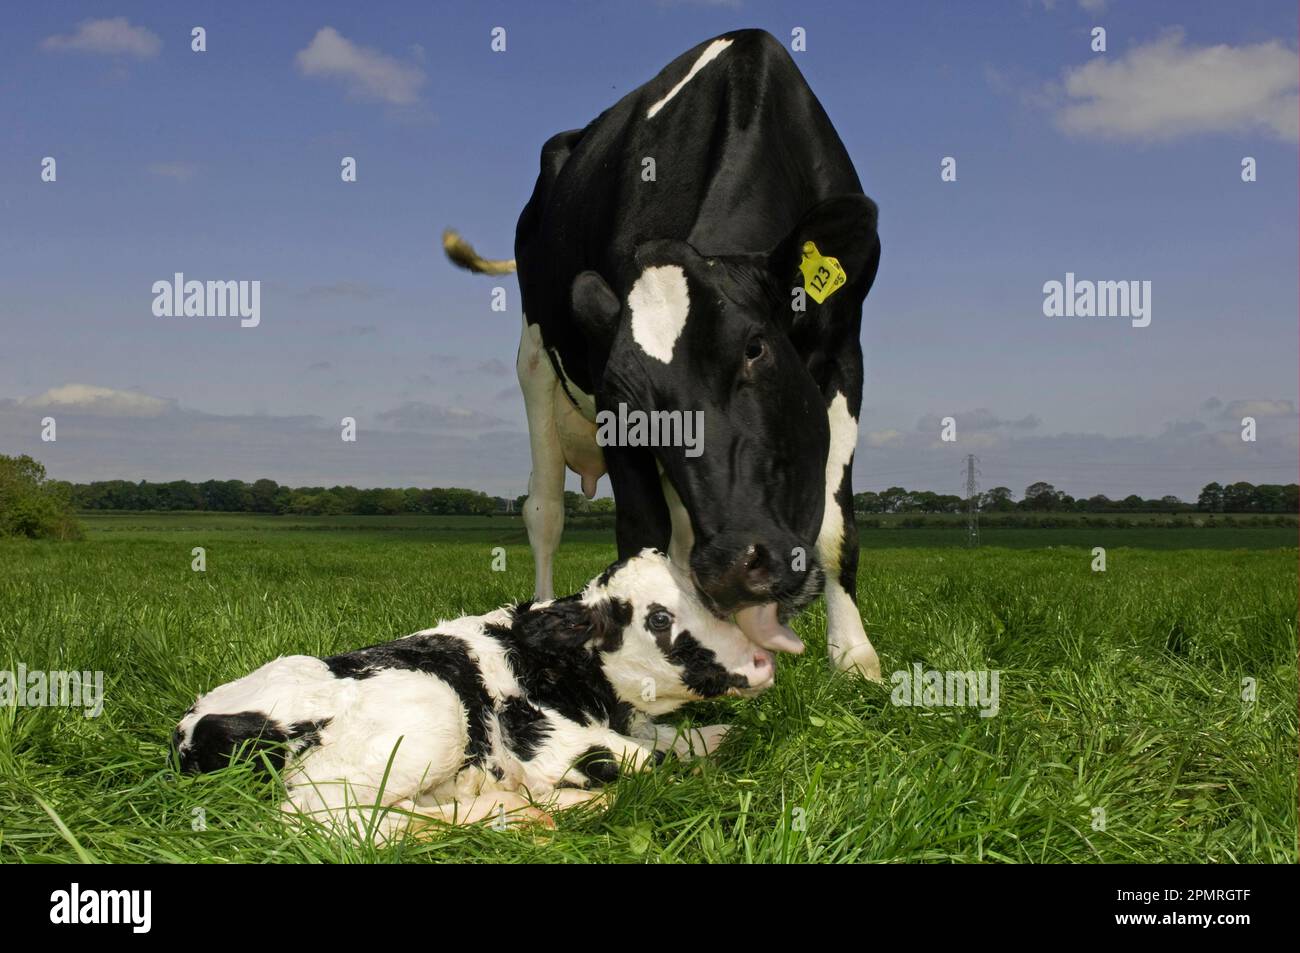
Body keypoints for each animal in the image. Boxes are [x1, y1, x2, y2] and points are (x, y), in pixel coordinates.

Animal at [167, 546, 764, 837]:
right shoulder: (545, 737)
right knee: (329, 823)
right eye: (659, 617)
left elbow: (697, 741)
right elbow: (655, 767)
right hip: (430, 719)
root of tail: (191, 729)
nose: (761, 662)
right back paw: (522, 812)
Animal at [447, 27, 883, 676]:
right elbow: (639, 531)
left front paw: (854, 657)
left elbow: (835, 529)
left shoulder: (844, 347)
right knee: (544, 510)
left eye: (755, 348)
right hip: (534, 359)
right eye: (628, 401)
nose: (732, 568)